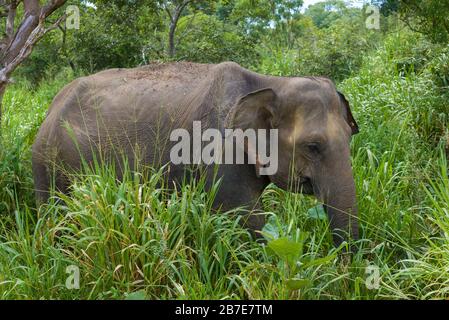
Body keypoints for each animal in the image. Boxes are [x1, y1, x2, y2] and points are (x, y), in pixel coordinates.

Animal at [31, 61, 358, 246]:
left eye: (350, 135)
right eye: (313, 146)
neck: (270, 81)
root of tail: (48, 110)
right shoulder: (219, 151)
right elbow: (245, 217)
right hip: (50, 165)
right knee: (56, 217)